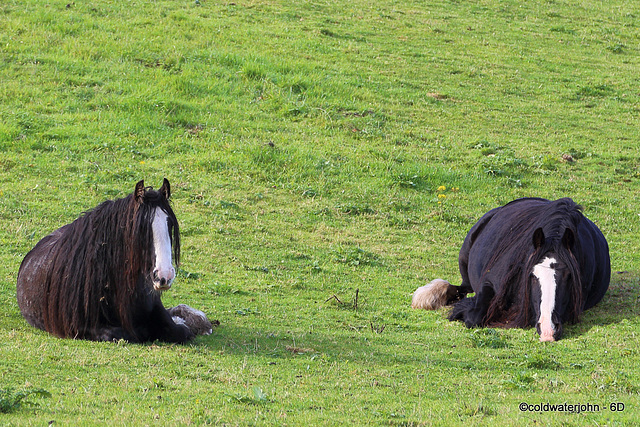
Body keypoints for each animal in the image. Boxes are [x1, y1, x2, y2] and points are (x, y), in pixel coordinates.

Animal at [16, 180, 212, 344]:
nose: (164, 276)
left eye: (169, 223)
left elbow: (180, 331)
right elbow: (122, 334)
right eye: (142, 227)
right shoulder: (85, 328)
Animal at [412, 199, 612, 342]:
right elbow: (474, 316)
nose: (548, 329)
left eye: (569, 276)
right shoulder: (489, 282)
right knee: (461, 287)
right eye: (532, 276)